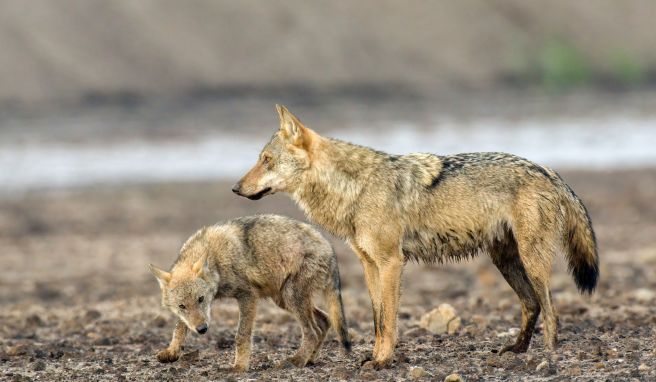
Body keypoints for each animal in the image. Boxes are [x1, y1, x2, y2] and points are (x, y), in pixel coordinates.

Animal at [232, 106, 600, 368]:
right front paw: (374, 357)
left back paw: (547, 357)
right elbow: (377, 318)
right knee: (532, 304)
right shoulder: (370, 265)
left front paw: (383, 361)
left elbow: (389, 320)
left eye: (266, 160)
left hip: (531, 260)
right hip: (505, 261)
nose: (235, 188)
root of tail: (550, 171)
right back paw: (516, 350)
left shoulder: (392, 262)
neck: (353, 188)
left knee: (550, 310)